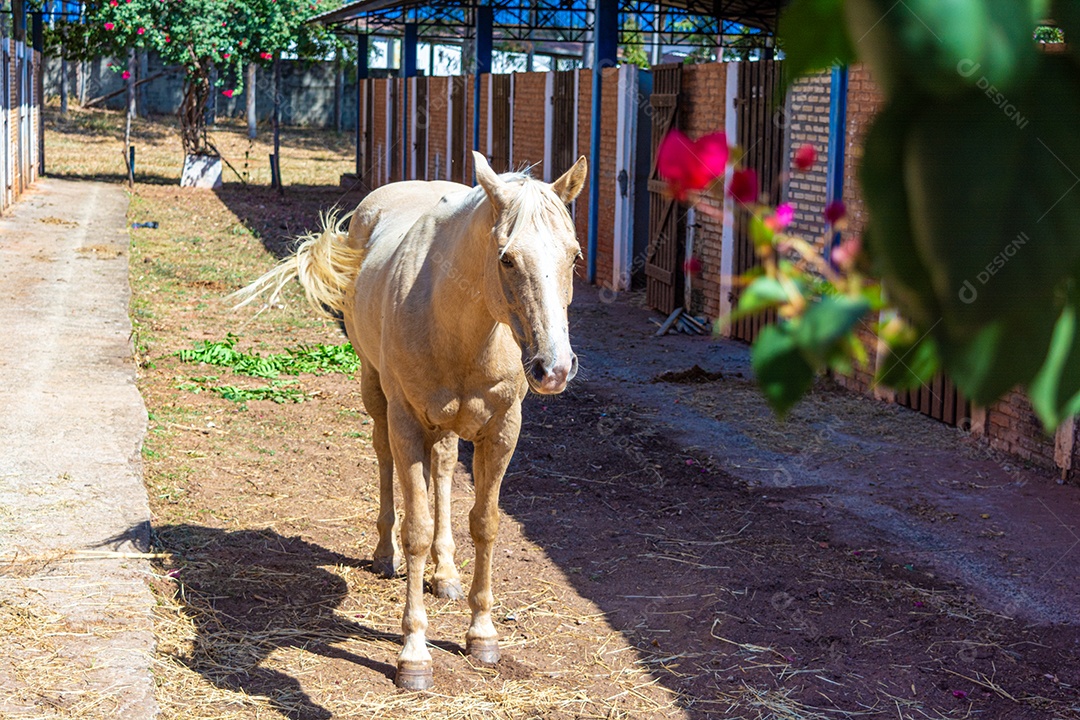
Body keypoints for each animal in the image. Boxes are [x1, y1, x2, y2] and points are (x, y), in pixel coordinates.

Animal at [233, 151, 588, 690]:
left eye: (574, 256)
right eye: (506, 258)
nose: (554, 368)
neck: (462, 328)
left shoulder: (502, 431)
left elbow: (485, 524)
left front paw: (481, 634)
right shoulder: (406, 422)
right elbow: (415, 528)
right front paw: (414, 656)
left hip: (444, 426)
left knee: (441, 469)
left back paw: (446, 574)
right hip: (376, 392)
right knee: (384, 461)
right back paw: (386, 555)